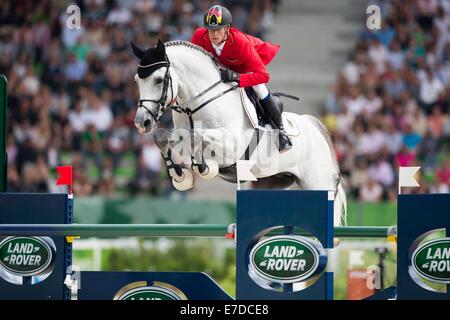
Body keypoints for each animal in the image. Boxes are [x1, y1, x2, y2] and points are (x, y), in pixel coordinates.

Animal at [132, 40, 346, 225]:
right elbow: (162, 138)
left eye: (159, 80)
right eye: (136, 81)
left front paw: (204, 167)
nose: (142, 123)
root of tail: (315, 126)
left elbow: (197, 136)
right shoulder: (179, 134)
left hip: (318, 183)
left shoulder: (231, 145)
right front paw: (181, 177)